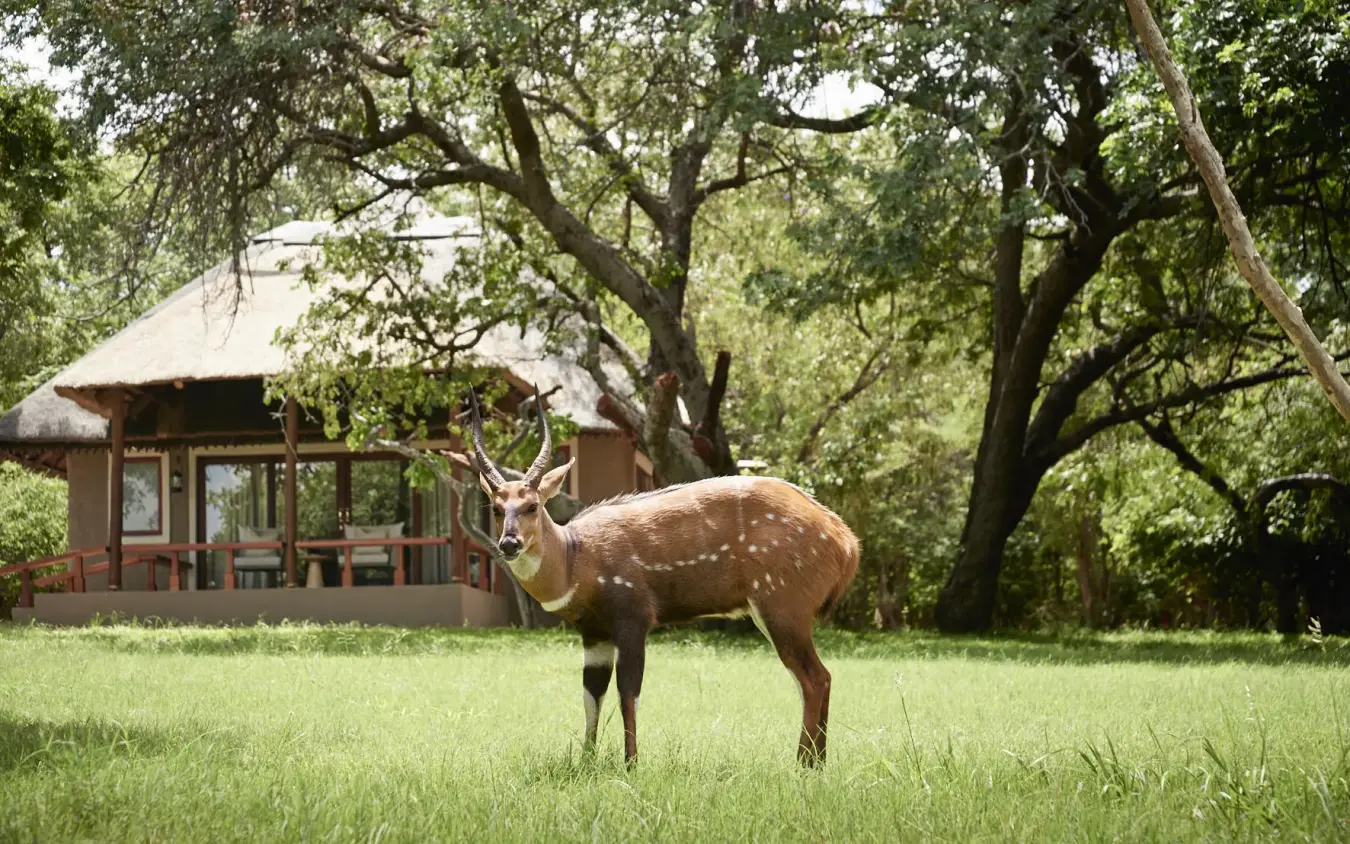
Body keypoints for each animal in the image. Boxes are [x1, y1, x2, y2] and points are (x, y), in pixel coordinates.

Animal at [462, 389, 860, 766]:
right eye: (496, 507)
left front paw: (631, 764)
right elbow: (592, 694)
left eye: (533, 505)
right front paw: (586, 761)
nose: (509, 543)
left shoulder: (633, 618)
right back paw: (816, 762)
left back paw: (803, 765)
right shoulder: (594, 633)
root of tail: (846, 542)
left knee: (814, 677)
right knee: (817, 678)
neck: (576, 559)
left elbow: (628, 692)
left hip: (782, 607)